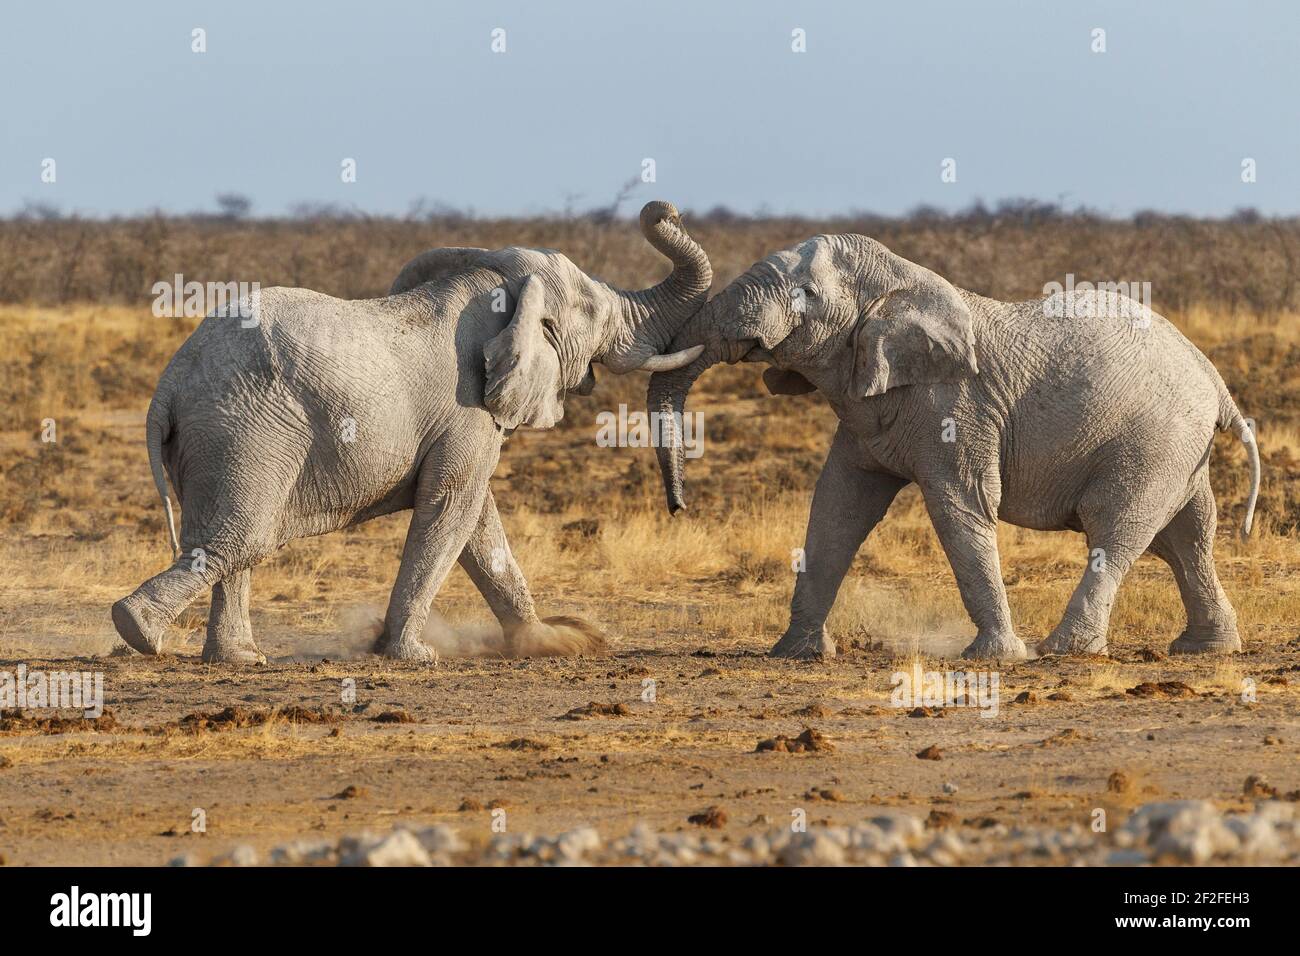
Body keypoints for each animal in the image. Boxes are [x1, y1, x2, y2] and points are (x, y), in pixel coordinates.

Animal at [114, 201, 712, 665]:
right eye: (594, 312)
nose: (665, 208)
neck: (498, 290)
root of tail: (169, 384)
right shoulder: (467, 407)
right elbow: (452, 507)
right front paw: (414, 656)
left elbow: (478, 521)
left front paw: (551, 642)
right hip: (248, 431)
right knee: (241, 537)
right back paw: (137, 631)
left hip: (213, 438)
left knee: (233, 539)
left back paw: (236, 658)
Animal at [650, 235, 1258, 660]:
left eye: (806, 296)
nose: (678, 507)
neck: (901, 283)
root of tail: (1213, 377)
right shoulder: (865, 404)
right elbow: (837, 509)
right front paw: (795, 654)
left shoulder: (957, 407)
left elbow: (960, 507)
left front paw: (997, 658)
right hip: (1179, 449)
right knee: (1188, 537)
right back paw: (1206, 649)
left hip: (1153, 441)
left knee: (1117, 527)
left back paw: (1063, 652)